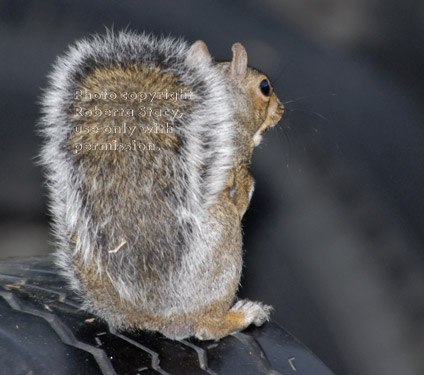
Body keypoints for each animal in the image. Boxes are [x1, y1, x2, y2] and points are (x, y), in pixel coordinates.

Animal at [39, 30, 284, 340]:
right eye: (265, 87)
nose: (281, 109)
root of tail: (155, 314)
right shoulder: (237, 159)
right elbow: (241, 191)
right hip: (223, 246)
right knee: (206, 327)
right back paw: (242, 315)